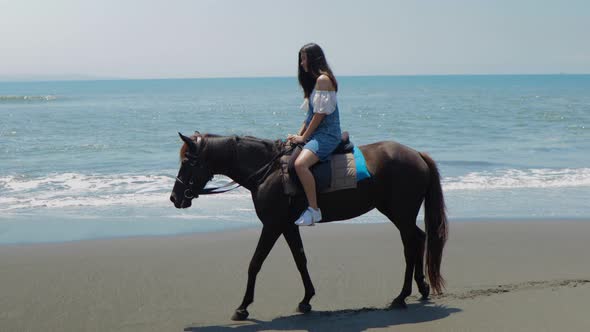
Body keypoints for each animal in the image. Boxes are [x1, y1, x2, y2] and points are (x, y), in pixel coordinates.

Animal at [171, 132, 448, 322]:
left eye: (188, 161)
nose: (175, 198)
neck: (269, 170)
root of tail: (417, 154)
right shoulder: (287, 226)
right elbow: (300, 259)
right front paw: (306, 300)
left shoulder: (272, 225)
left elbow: (255, 262)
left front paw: (243, 307)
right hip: (400, 214)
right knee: (418, 239)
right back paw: (422, 287)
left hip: (400, 214)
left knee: (410, 246)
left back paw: (401, 296)